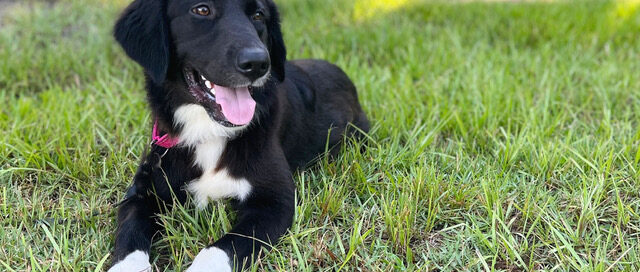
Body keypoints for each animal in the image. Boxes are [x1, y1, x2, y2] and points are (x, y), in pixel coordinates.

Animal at [109, 0, 370, 270]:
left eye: (258, 15)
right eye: (202, 10)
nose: (258, 63)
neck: (209, 130)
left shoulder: (274, 203)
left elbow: (218, 250)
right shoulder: (143, 193)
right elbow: (130, 235)